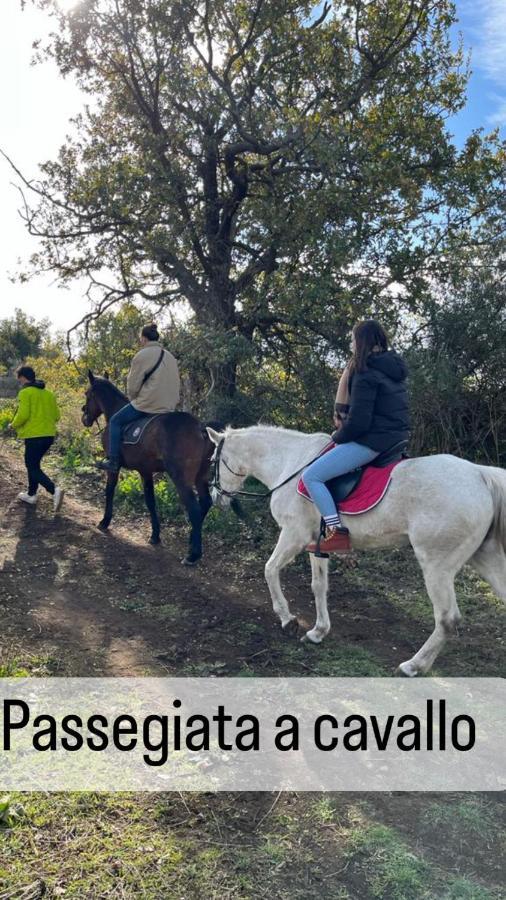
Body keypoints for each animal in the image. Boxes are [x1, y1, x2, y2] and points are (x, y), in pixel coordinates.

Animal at [80, 370, 213, 568]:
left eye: (88, 394)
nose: (84, 416)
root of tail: (200, 428)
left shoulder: (113, 468)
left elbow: (109, 490)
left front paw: (105, 521)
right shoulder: (145, 471)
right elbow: (150, 501)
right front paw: (155, 535)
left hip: (181, 479)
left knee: (195, 508)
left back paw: (192, 554)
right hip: (200, 477)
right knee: (205, 503)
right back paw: (191, 542)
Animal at [207, 428, 506, 676]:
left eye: (213, 462)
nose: (215, 497)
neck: (289, 462)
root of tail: (480, 475)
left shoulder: (294, 534)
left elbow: (269, 569)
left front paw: (287, 619)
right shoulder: (316, 543)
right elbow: (319, 586)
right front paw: (318, 632)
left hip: (437, 566)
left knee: (446, 619)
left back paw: (413, 666)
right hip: (485, 558)